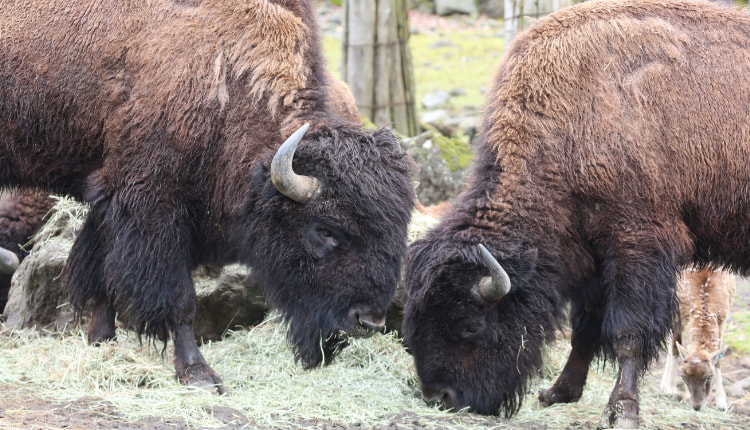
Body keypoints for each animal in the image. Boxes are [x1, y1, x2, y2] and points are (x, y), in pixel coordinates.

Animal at [0, 0, 418, 394]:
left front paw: (102, 342)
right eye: (325, 230)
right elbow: (179, 298)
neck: (228, 74)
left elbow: (102, 272)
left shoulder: (113, 200)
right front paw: (198, 374)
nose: (368, 321)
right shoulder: (154, 206)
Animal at [660, 268, 736, 412]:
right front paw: (671, 390)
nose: (697, 407)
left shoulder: (722, 320)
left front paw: (722, 403)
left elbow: (718, 358)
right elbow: (675, 348)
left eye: (709, 376)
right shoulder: (678, 315)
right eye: (683, 377)